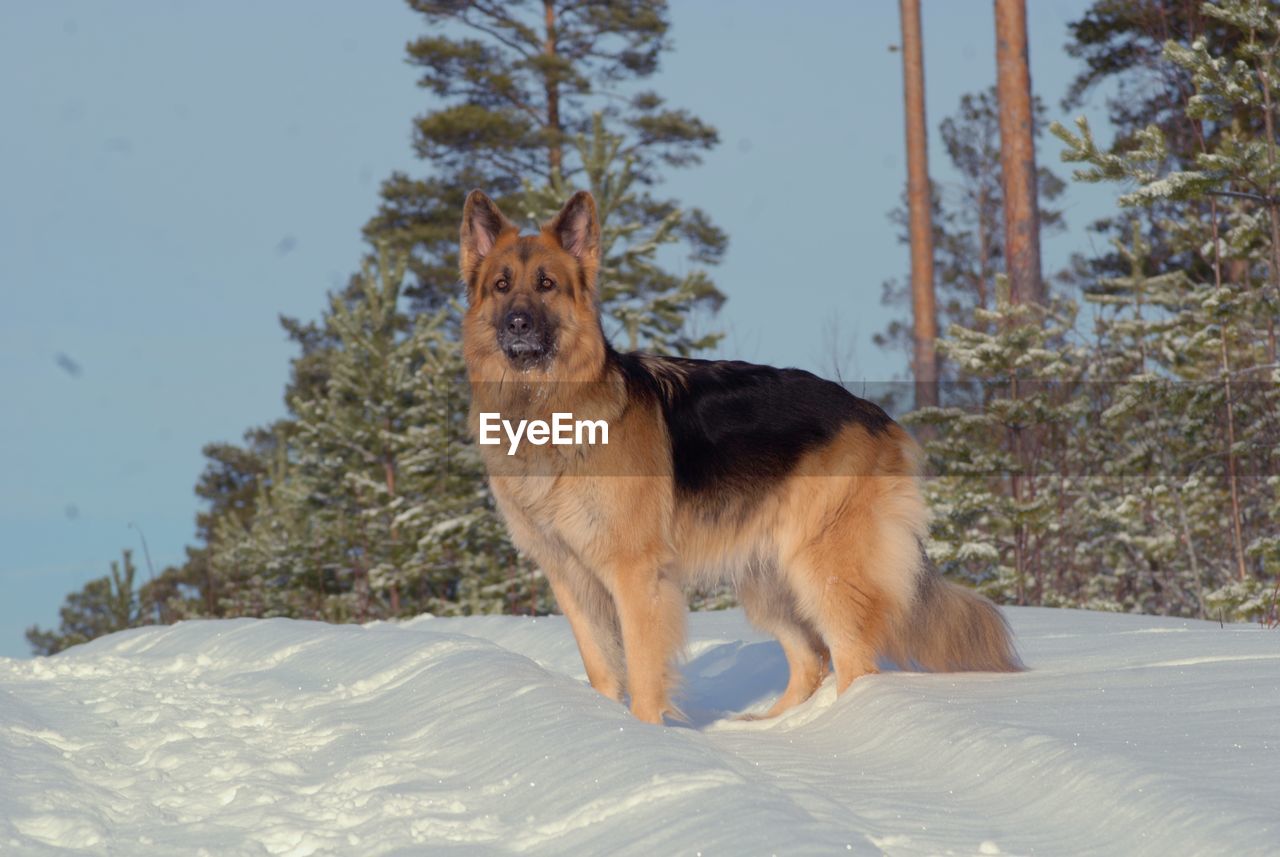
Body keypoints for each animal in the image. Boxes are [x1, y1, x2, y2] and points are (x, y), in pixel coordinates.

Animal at [460, 189, 1018, 726]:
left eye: (547, 284)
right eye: (502, 285)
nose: (517, 324)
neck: (546, 405)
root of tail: (876, 414)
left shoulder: (635, 575)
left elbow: (642, 670)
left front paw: (646, 737)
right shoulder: (569, 577)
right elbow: (602, 668)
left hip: (823, 571)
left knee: (854, 661)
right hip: (767, 579)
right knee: (812, 659)